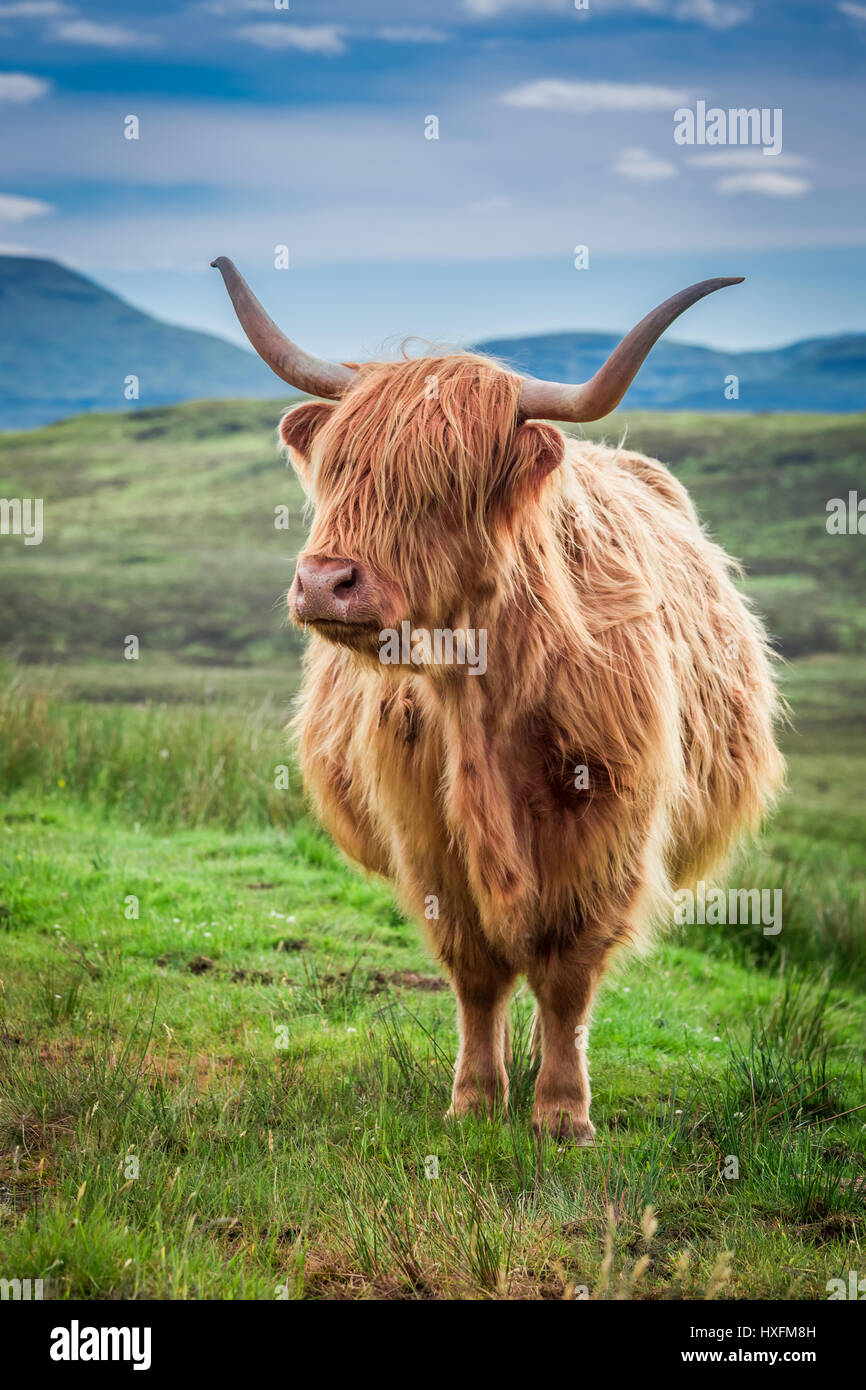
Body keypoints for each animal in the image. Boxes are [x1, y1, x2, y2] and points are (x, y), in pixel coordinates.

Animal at [212, 258, 784, 1142]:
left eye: (446, 482)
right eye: (337, 467)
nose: (324, 582)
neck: (479, 699)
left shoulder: (607, 827)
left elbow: (568, 973)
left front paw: (563, 1113)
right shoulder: (425, 832)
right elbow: (477, 972)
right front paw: (477, 1098)